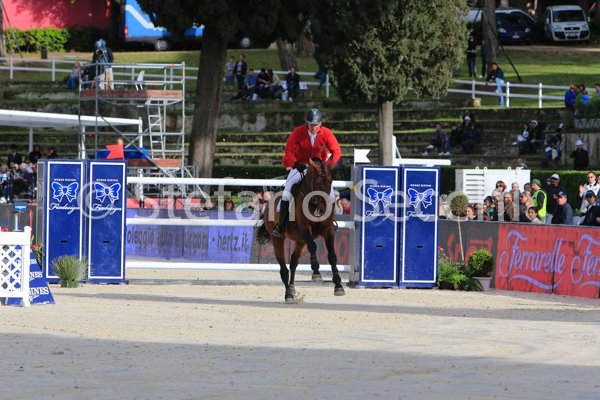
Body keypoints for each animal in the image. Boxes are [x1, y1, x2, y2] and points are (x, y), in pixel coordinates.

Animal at [257, 158, 346, 303]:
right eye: (316, 183)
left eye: (330, 181)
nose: (324, 209)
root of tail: (269, 203)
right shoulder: (304, 229)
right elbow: (314, 247)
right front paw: (316, 272)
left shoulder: (328, 230)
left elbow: (332, 256)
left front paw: (338, 285)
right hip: (278, 239)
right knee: (283, 268)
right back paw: (288, 294)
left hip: (300, 242)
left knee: (293, 263)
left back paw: (292, 290)